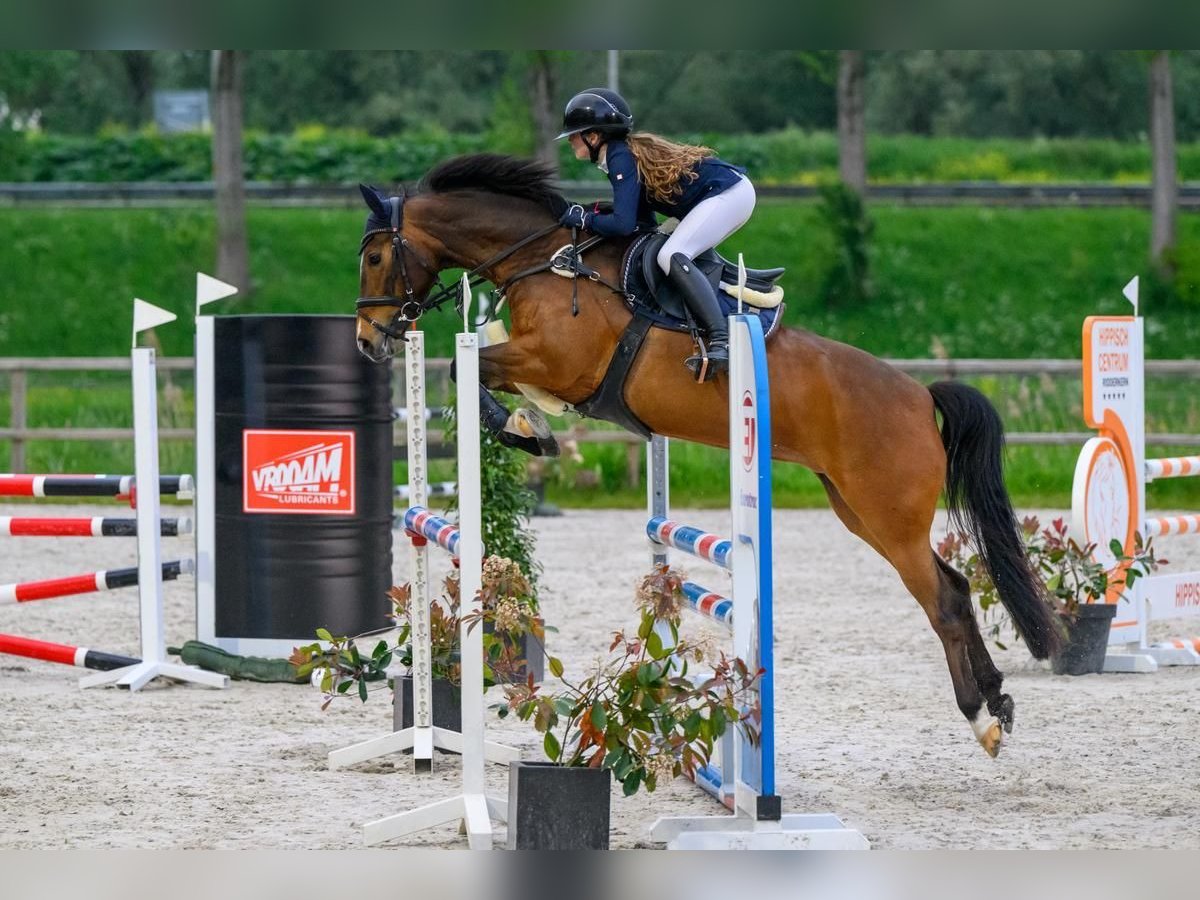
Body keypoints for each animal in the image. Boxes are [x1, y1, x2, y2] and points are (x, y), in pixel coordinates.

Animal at [354, 153, 1062, 758]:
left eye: (377, 256)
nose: (367, 340)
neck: (545, 261)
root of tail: (920, 396)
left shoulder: (556, 362)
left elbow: (466, 367)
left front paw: (526, 430)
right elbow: (479, 368)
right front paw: (531, 427)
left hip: (888, 517)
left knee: (943, 600)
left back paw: (980, 718)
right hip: (859, 512)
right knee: (958, 586)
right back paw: (998, 701)